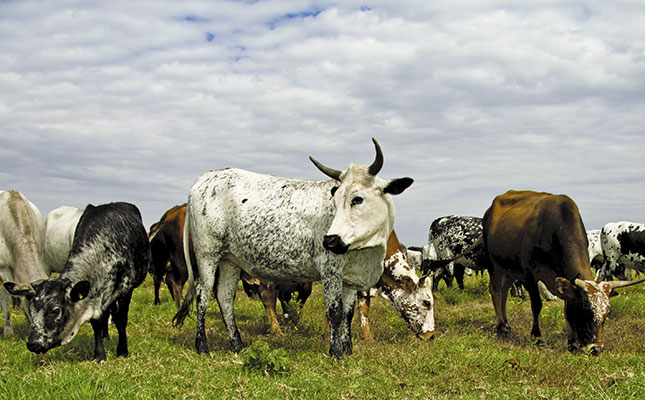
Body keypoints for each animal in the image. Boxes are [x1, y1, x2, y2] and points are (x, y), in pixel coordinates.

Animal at [4, 202, 150, 362]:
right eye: (31, 309)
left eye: (55, 310)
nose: (33, 343)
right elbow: (97, 322)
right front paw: (99, 354)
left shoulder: (125, 290)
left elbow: (121, 321)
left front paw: (122, 350)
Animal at [173, 139, 413, 359]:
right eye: (335, 201)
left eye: (358, 199)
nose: (330, 241)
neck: (368, 252)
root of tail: (204, 178)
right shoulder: (330, 271)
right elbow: (335, 313)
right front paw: (336, 353)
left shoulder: (350, 278)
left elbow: (348, 313)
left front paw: (348, 349)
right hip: (207, 254)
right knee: (202, 296)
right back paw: (202, 346)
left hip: (229, 260)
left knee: (224, 298)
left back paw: (238, 345)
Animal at [483, 190, 643, 354]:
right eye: (585, 310)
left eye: (606, 314)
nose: (596, 348)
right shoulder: (530, 275)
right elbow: (536, 305)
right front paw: (537, 336)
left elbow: (567, 307)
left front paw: (572, 343)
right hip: (493, 264)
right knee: (496, 291)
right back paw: (500, 327)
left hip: (509, 268)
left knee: (504, 293)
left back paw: (507, 324)